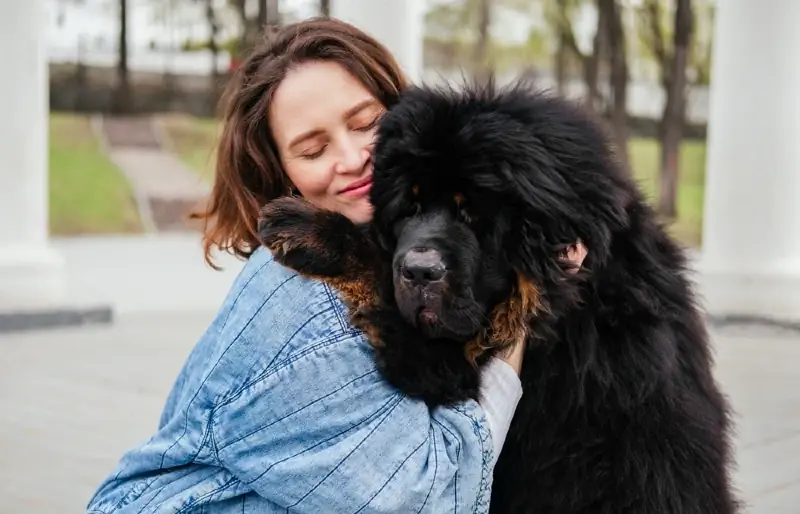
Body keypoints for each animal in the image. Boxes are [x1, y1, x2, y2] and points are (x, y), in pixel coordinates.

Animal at [258, 82, 736, 510]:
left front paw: (305, 227)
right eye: (409, 209)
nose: (419, 271)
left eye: (472, 215)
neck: (570, 313)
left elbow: (378, 269)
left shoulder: (444, 368)